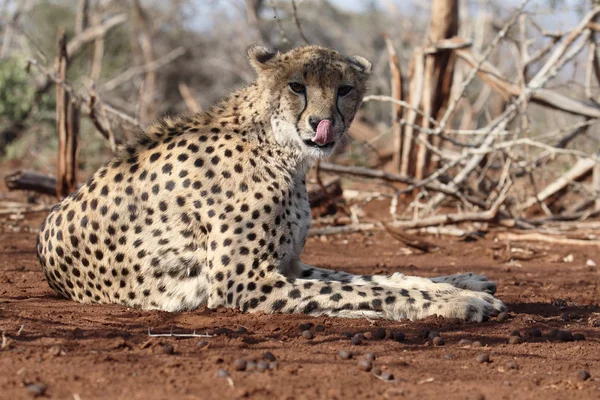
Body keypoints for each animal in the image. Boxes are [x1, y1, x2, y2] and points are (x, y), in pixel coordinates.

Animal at [36, 44, 506, 322]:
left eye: (345, 89)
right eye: (297, 86)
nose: (322, 124)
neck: (282, 151)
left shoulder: (289, 265)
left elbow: (378, 277)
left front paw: (460, 282)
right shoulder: (246, 282)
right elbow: (371, 290)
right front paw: (458, 301)